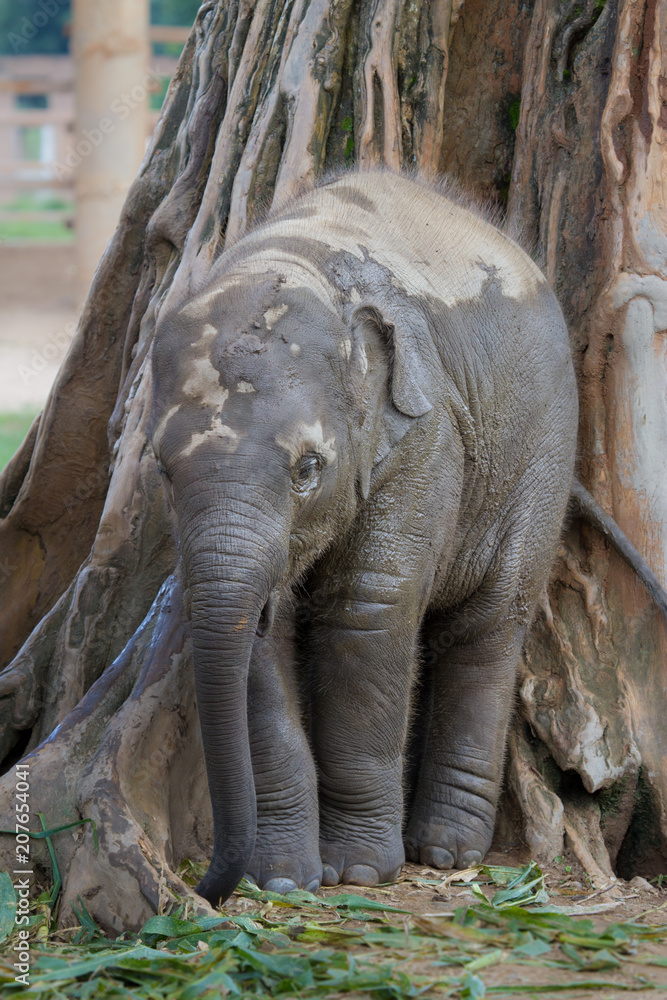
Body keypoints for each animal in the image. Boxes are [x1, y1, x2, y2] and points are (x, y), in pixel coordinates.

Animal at [150, 169, 580, 906]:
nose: (203, 889)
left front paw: (355, 872)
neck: (298, 265)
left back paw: (446, 852)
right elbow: (261, 644)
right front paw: (285, 877)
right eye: (162, 470)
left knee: (489, 625)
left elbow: (368, 609)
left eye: (308, 468)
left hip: (544, 449)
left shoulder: (426, 432)